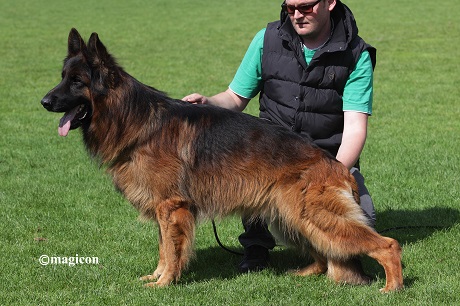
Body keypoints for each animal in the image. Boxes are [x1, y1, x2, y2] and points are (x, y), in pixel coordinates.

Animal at [41, 29, 404, 294]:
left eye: (77, 82)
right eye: (61, 76)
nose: (43, 101)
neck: (134, 119)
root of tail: (335, 166)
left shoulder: (171, 207)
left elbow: (171, 250)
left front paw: (165, 283)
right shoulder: (162, 209)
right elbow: (162, 249)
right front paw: (157, 276)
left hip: (315, 216)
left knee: (387, 244)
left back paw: (392, 288)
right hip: (291, 218)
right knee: (323, 253)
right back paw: (304, 274)